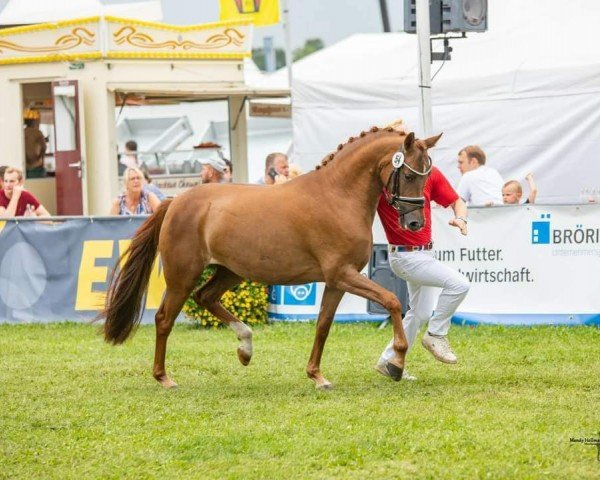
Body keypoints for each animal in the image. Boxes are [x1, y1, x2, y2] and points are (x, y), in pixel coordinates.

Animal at [102, 124, 440, 390]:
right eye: (409, 174)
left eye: (428, 176)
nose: (415, 224)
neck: (338, 196)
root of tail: (175, 201)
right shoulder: (342, 274)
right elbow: (392, 301)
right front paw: (396, 362)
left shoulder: (336, 281)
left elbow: (323, 326)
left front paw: (317, 376)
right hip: (182, 276)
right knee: (164, 319)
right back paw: (164, 377)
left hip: (230, 271)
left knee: (206, 297)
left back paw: (245, 347)